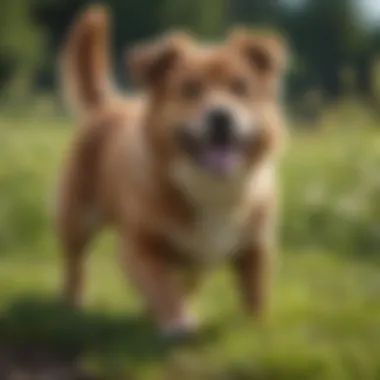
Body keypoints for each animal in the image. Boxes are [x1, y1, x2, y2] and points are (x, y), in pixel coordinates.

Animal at [55, 5, 288, 338]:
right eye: (189, 89)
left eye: (240, 87)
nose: (221, 115)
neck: (211, 186)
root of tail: (109, 105)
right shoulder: (140, 246)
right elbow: (162, 286)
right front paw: (178, 321)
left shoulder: (255, 247)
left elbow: (255, 292)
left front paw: (258, 328)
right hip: (77, 219)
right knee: (75, 262)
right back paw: (74, 301)